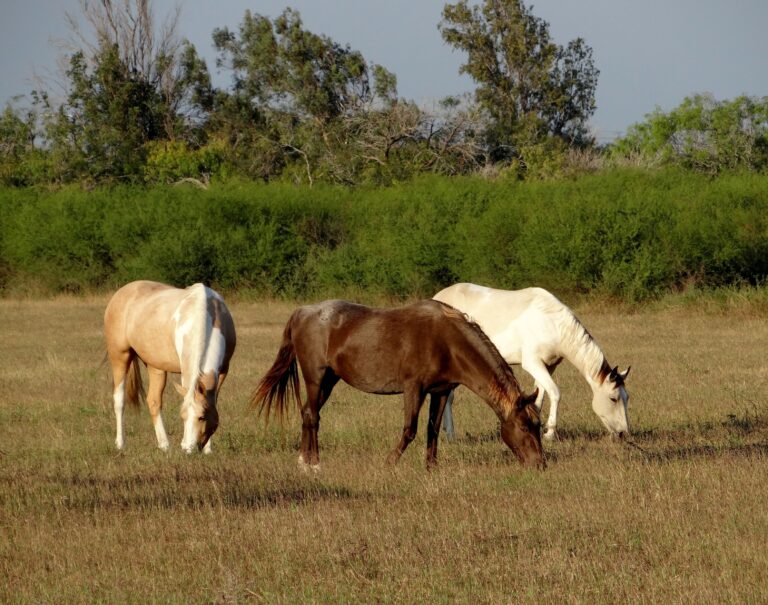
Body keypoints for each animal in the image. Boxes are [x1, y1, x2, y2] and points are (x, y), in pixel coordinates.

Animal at [104, 280, 236, 453]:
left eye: (201, 416)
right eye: (183, 416)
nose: (188, 448)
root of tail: (121, 293)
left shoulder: (223, 370)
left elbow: (213, 402)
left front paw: (208, 450)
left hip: (155, 366)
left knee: (153, 401)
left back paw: (164, 445)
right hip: (119, 356)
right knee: (119, 400)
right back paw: (120, 444)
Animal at [250, 299, 544, 471]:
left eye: (538, 426)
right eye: (523, 426)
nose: (539, 463)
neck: (447, 341)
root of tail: (302, 312)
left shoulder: (440, 392)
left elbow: (432, 430)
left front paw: (431, 467)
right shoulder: (414, 388)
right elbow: (410, 430)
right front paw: (389, 462)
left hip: (329, 380)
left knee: (308, 414)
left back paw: (303, 460)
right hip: (315, 377)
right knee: (312, 416)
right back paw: (312, 463)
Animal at [433, 283, 630, 441]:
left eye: (627, 397)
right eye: (613, 399)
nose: (623, 433)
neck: (552, 323)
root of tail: (437, 298)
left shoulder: (548, 366)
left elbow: (540, 396)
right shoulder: (532, 363)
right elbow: (555, 393)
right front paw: (550, 433)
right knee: (448, 398)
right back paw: (451, 435)